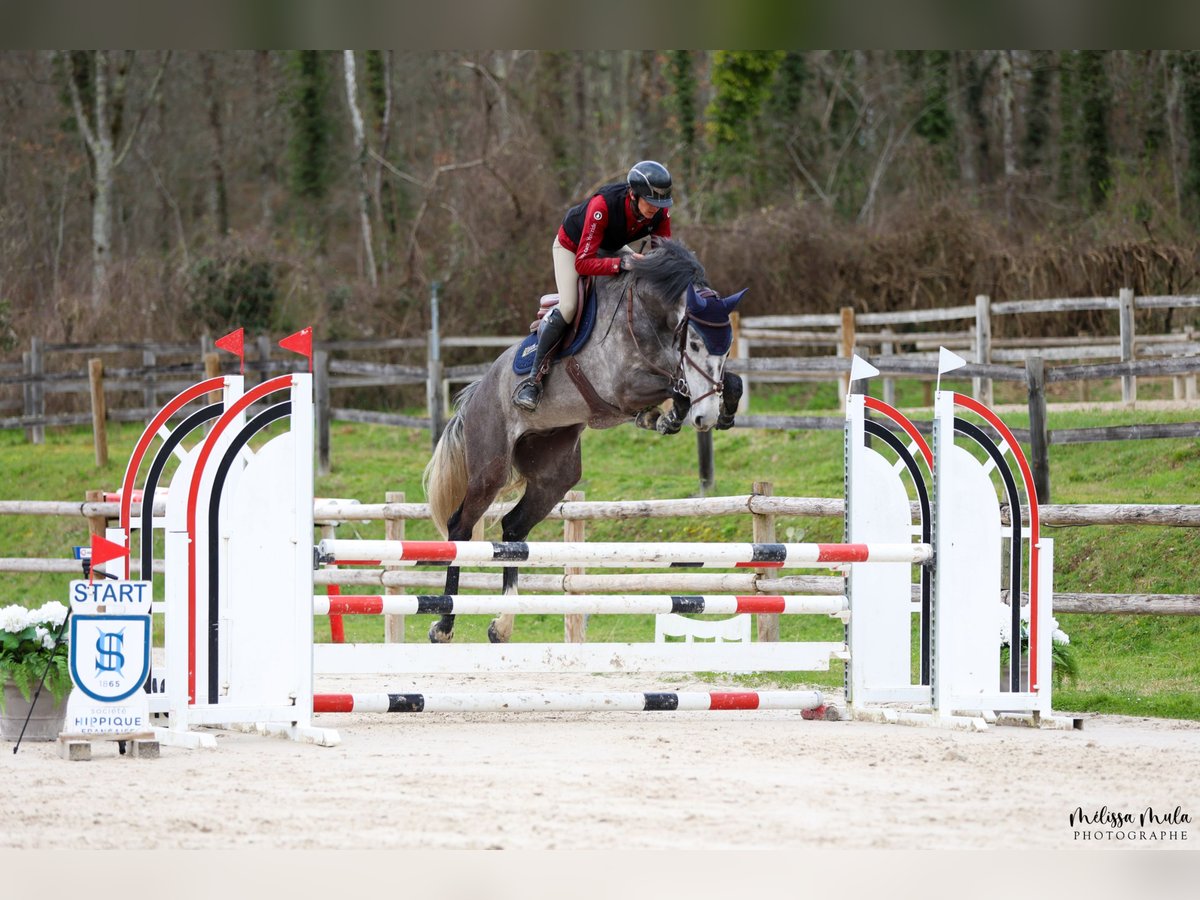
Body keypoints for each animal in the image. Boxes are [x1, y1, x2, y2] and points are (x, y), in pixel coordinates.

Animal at [417, 240, 744, 643]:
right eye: (695, 344)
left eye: (726, 348)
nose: (706, 419)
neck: (652, 315)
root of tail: (478, 391)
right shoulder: (623, 388)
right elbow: (677, 388)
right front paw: (668, 416)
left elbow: (728, 382)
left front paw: (706, 414)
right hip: (489, 468)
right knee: (460, 527)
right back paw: (443, 626)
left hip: (555, 474)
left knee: (514, 528)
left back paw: (502, 624)